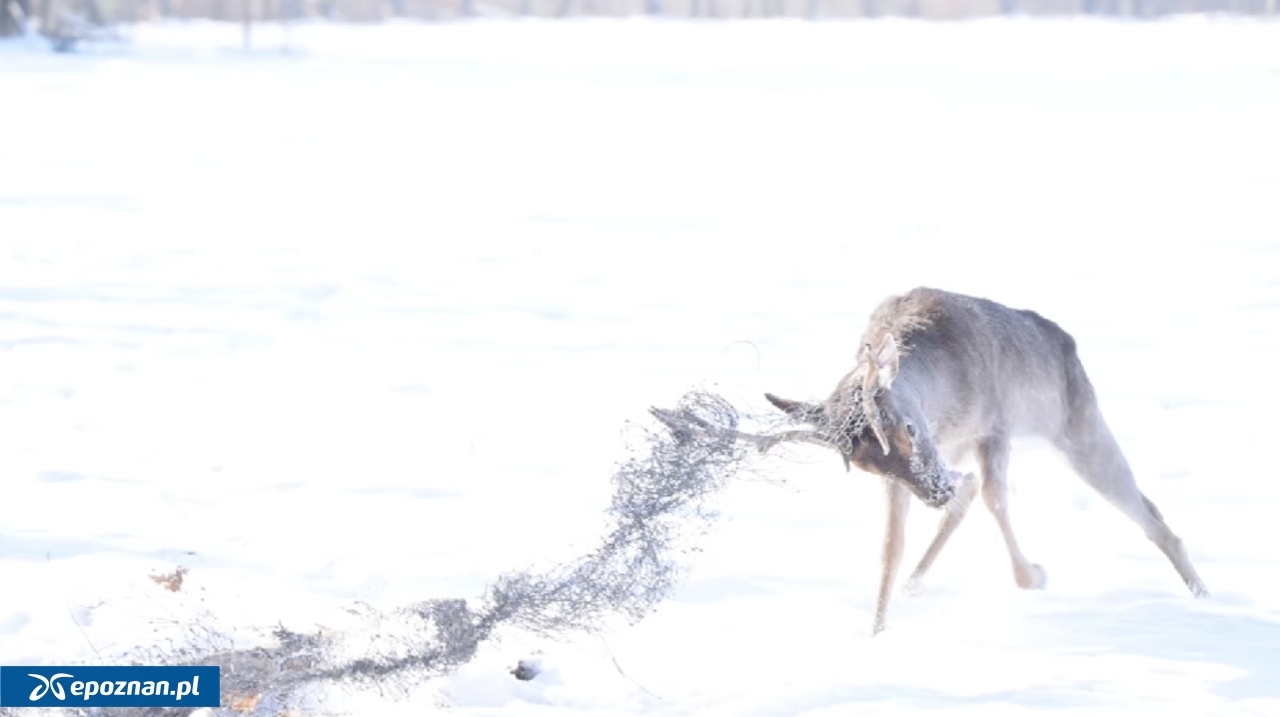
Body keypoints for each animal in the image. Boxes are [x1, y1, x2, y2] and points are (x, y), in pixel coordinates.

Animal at [757, 285, 1208, 632]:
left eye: (909, 428)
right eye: (867, 465)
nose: (936, 492)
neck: (947, 408)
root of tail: (1068, 342)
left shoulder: (995, 428)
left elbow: (996, 498)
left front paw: (1034, 575)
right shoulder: (909, 475)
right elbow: (890, 544)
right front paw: (877, 631)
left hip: (1079, 427)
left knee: (1148, 513)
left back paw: (1203, 593)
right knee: (968, 493)